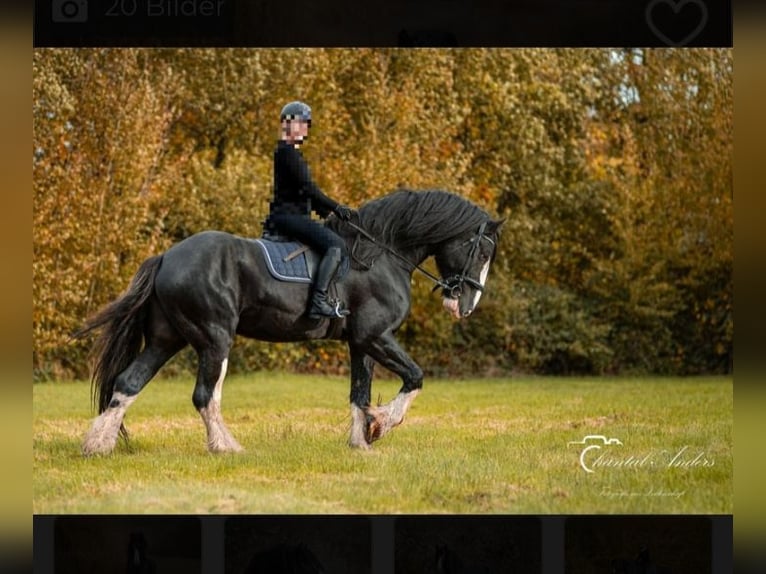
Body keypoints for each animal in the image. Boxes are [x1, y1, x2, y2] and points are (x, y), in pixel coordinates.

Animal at [78, 191, 508, 456]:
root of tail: (167, 256)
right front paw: (381, 424)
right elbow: (414, 377)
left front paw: (361, 442)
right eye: (482, 251)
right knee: (204, 395)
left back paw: (96, 446)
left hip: (168, 339)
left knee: (128, 383)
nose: (465, 305)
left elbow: (360, 393)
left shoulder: (361, 343)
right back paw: (226, 447)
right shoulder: (375, 336)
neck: (382, 254)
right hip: (214, 339)